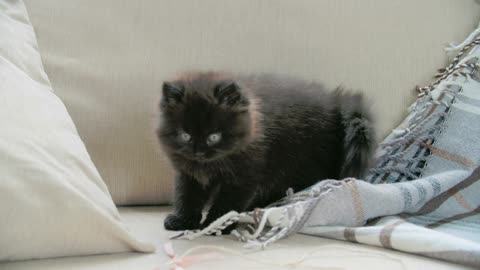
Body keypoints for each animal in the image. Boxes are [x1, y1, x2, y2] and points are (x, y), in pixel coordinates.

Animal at [158, 71, 376, 232]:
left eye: (214, 136)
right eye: (185, 135)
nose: (199, 151)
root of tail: (335, 102)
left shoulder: (244, 176)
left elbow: (228, 201)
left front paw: (216, 224)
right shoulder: (188, 174)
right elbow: (186, 196)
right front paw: (182, 221)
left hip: (305, 161)